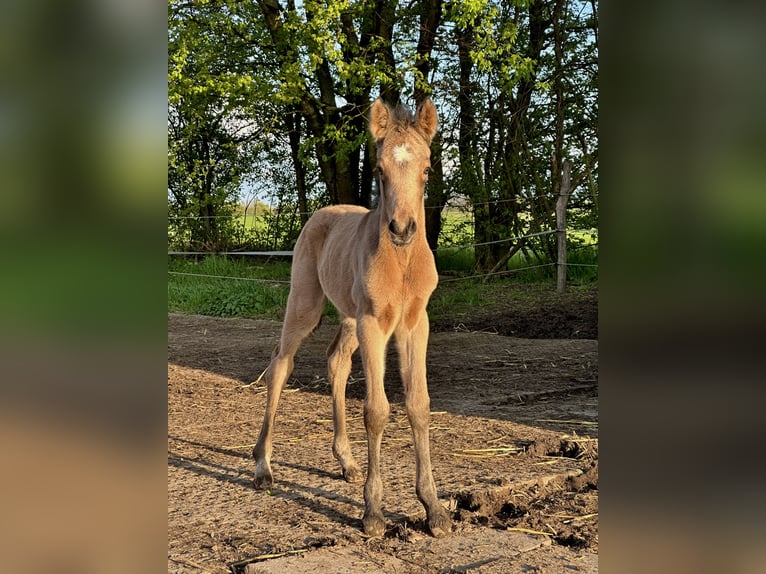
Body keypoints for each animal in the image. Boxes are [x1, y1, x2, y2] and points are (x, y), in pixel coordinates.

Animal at [255, 98, 452, 540]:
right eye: (379, 170)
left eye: (427, 169)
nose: (402, 228)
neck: (401, 264)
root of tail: (322, 212)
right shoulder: (374, 324)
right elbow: (377, 410)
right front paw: (374, 512)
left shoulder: (415, 324)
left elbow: (419, 404)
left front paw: (433, 508)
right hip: (306, 304)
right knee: (280, 364)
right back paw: (262, 466)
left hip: (348, 316)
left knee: (336, 363)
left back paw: (345, 461)